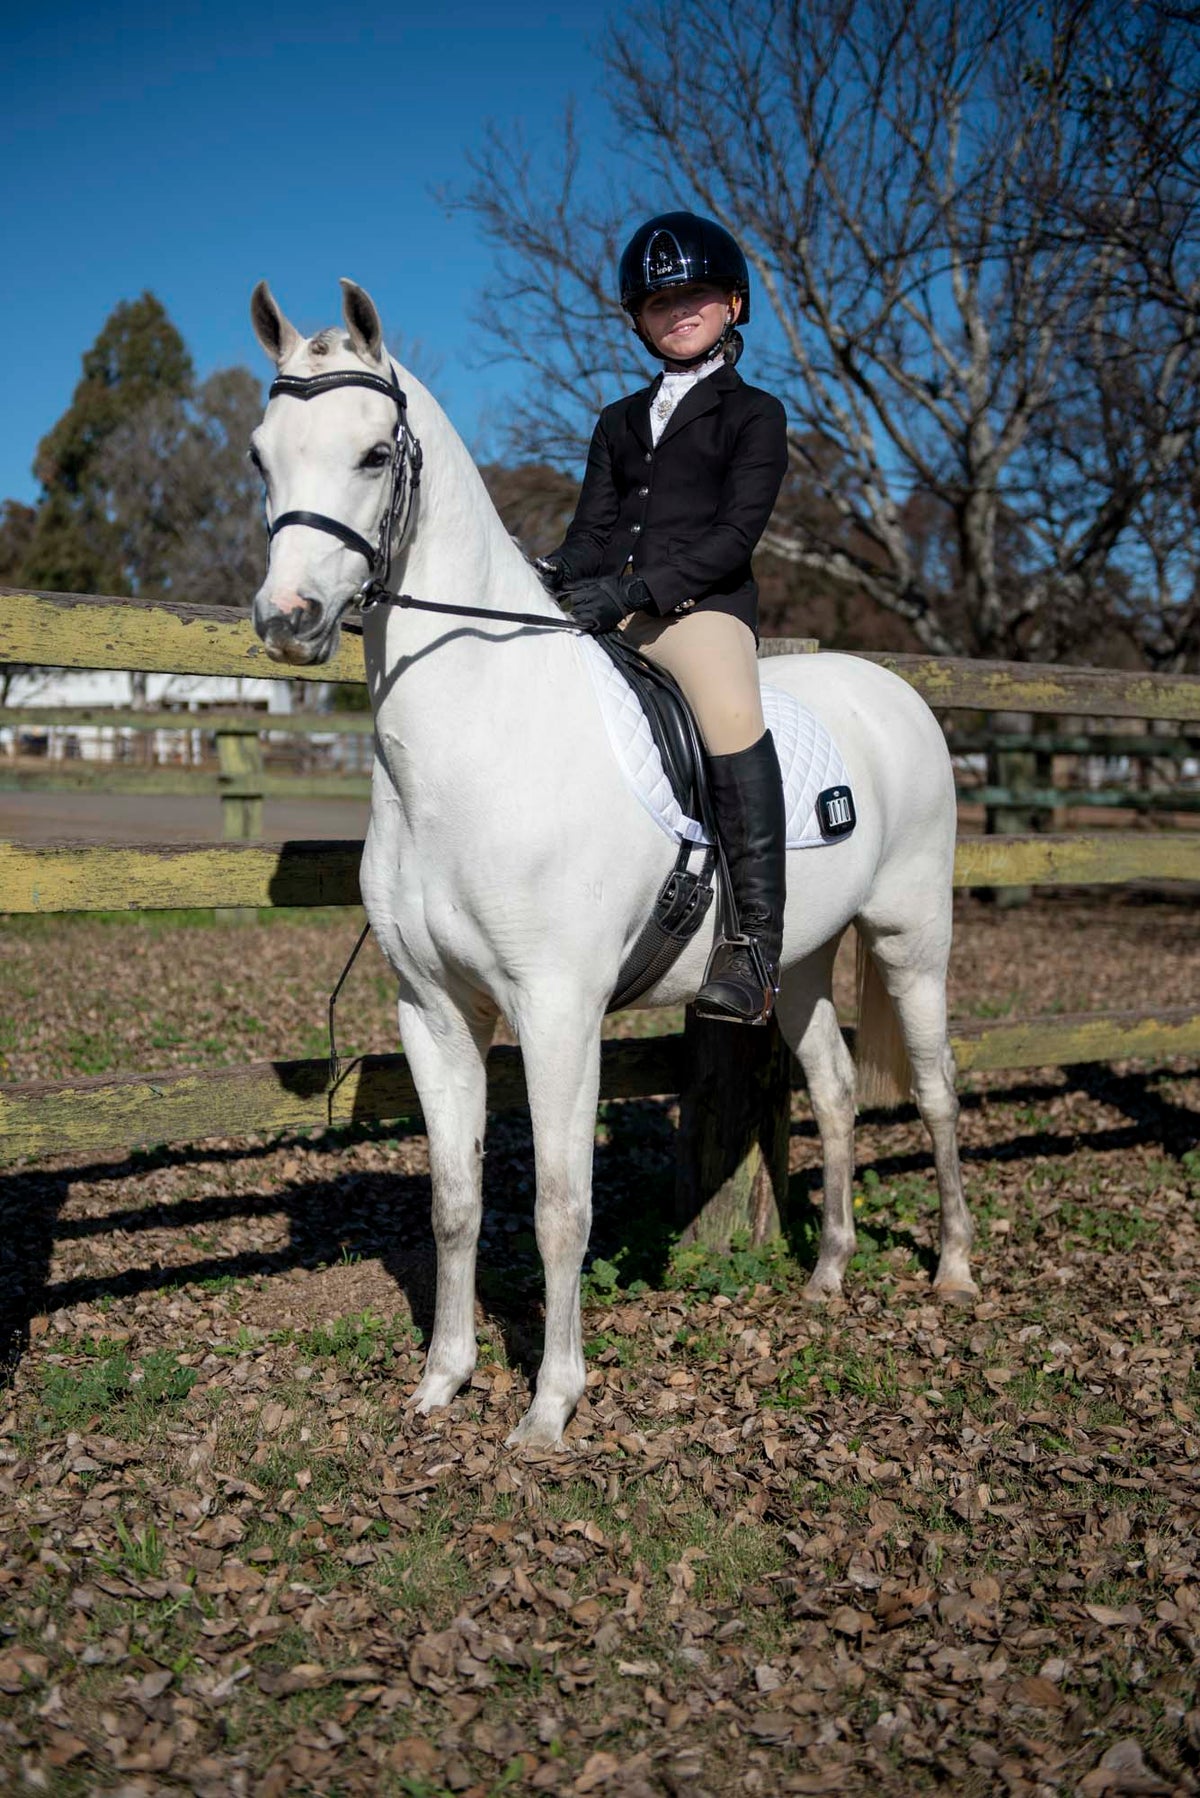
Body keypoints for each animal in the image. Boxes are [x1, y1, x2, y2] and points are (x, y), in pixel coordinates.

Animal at [248, 278, 975, 1449]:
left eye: (373, 453)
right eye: (262, 454)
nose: (289, 621)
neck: (478, 738)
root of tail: (894, 690)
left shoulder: (557, 1009)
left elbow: (559, 1208)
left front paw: (550, 1406)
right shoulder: (433, 1010)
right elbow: (455, 1203)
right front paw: (442, 1380)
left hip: (914, 939)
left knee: (941, 1090)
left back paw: (952, 1270)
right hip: (800, 961)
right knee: (833, 1091)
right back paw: (827, 1276)